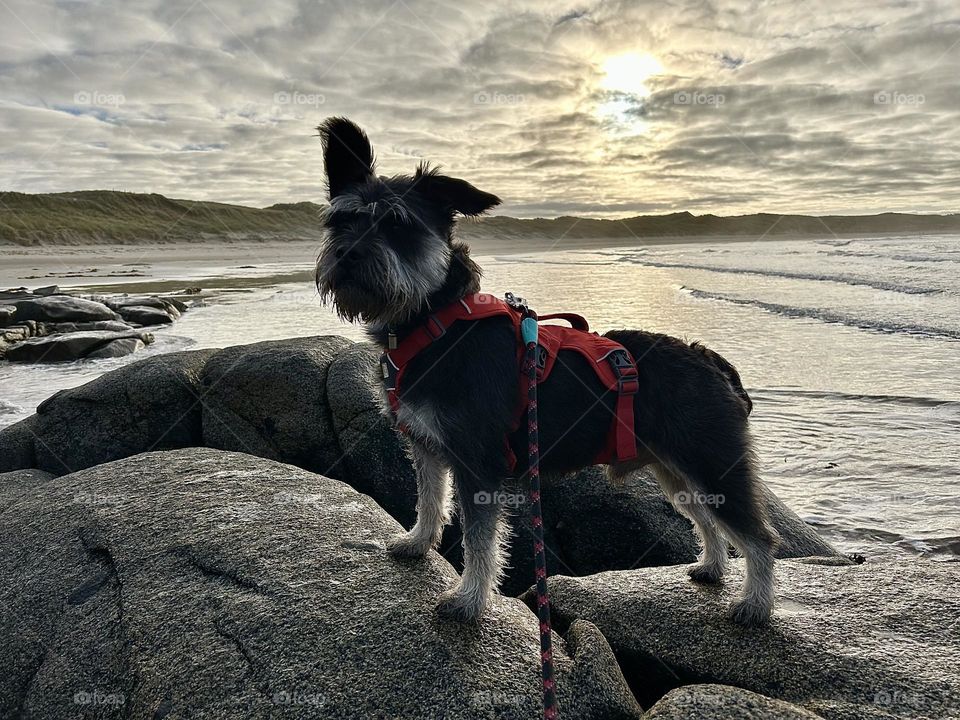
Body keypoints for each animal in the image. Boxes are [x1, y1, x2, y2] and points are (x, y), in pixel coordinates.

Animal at [316, 116, 780, 624]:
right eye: (341, 221)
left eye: (399, 225)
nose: (347, 255)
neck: (434, 321)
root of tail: (712, 360)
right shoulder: (428, 446)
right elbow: (430, 499)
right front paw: (418, 543)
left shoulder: (478, 460)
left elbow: (479, 539)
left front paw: (470, 598)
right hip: (674, 469)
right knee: (708, 519)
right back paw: (712, 566)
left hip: (713, 463)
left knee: (759, 536)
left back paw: (756, 604)